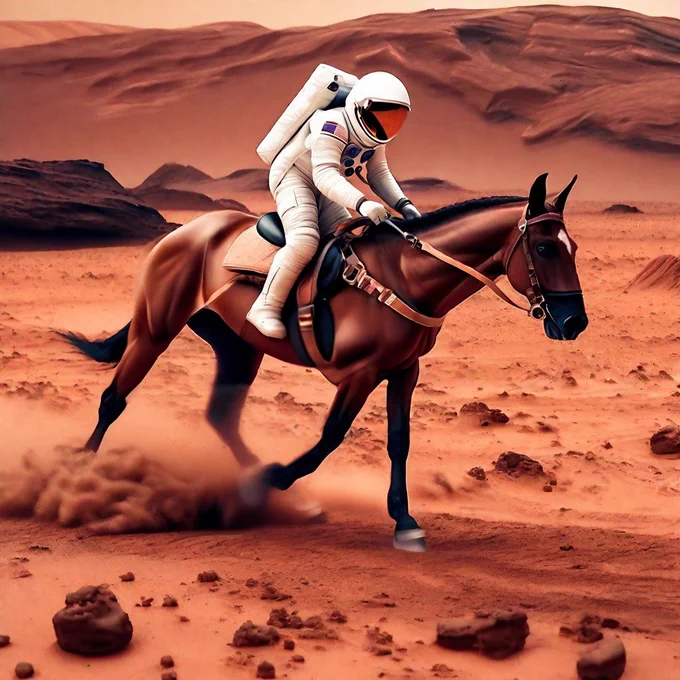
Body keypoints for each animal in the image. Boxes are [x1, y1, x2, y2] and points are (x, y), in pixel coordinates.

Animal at [61, 172, 588, 551]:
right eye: (543, 247)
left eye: (574, 248)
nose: (574, 322)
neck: (405, 276)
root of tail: (182, 234)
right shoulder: (359, 374)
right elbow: (330, 437)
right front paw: (273, 478)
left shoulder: (404, 371)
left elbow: (399, 442)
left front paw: (404, 520)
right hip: (155, 329)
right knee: (113, 399)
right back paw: (78, 478)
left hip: (238, 347)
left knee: (221, 416)